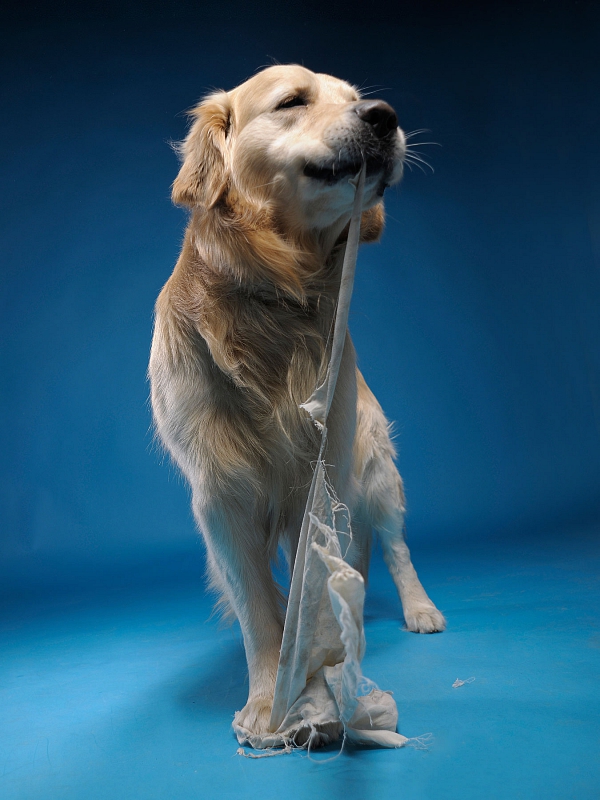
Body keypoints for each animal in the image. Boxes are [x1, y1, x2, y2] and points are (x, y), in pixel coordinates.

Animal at [148, 64, 442, 736]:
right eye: (292, 101)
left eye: (355, 98)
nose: (384, 115)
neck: (278, 294)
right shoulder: (221, 497)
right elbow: (257, 606)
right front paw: (267, 701)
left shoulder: (320, 471)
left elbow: (319, 577)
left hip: (376, 469)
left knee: (394, 544)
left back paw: (418, 609)